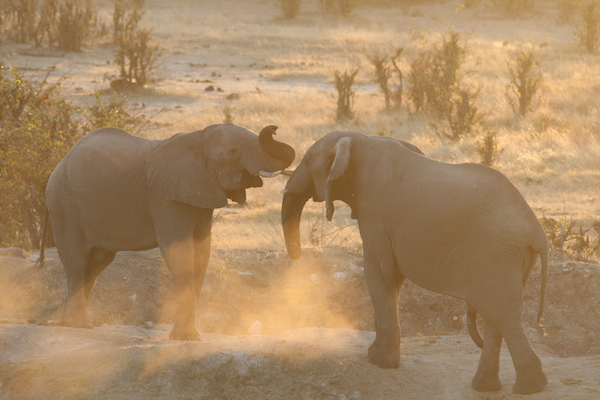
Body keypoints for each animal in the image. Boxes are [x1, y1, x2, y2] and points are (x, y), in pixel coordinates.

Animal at [38, 122, 296, 340]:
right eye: (233, 152)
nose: (273, 129)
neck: (198, 138)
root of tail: (58, 166)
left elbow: (202, 254)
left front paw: (189, 336)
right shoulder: (166, 198)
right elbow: (179, 251)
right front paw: (187, 338)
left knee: (96, 262)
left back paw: (68, 323)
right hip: (64, 203)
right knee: (76, 260)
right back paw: (79, 324)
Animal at [280, 130, 548, 394]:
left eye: (306, 160)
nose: (297, 257)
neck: (361, 138)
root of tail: (536, 231)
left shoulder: (374, 213)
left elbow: (379, 272)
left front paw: (379, 362)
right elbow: (393, 278)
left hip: (495, 252)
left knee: (502, 312)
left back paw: (529, 387)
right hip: (510, 257)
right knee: (496, 314)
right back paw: (487, 387)